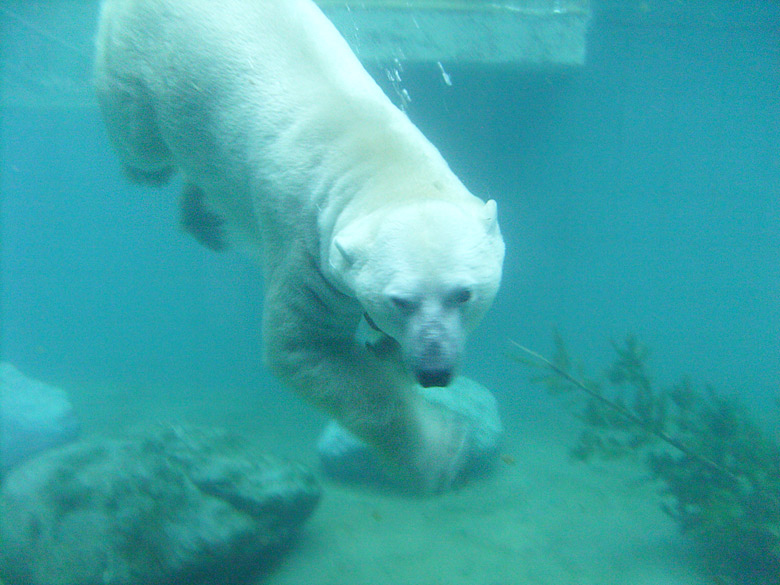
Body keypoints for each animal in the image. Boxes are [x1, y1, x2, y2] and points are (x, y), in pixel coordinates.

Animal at [94, 0, 506, 492]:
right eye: (400, 300)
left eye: (463, 294)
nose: (434, 371)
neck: (376, 161)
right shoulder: (306, 244)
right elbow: (304, 346)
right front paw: (443, 452)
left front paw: (385, 352)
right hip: (141, 63)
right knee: (138, 138)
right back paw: (153, 176)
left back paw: (204, 218)